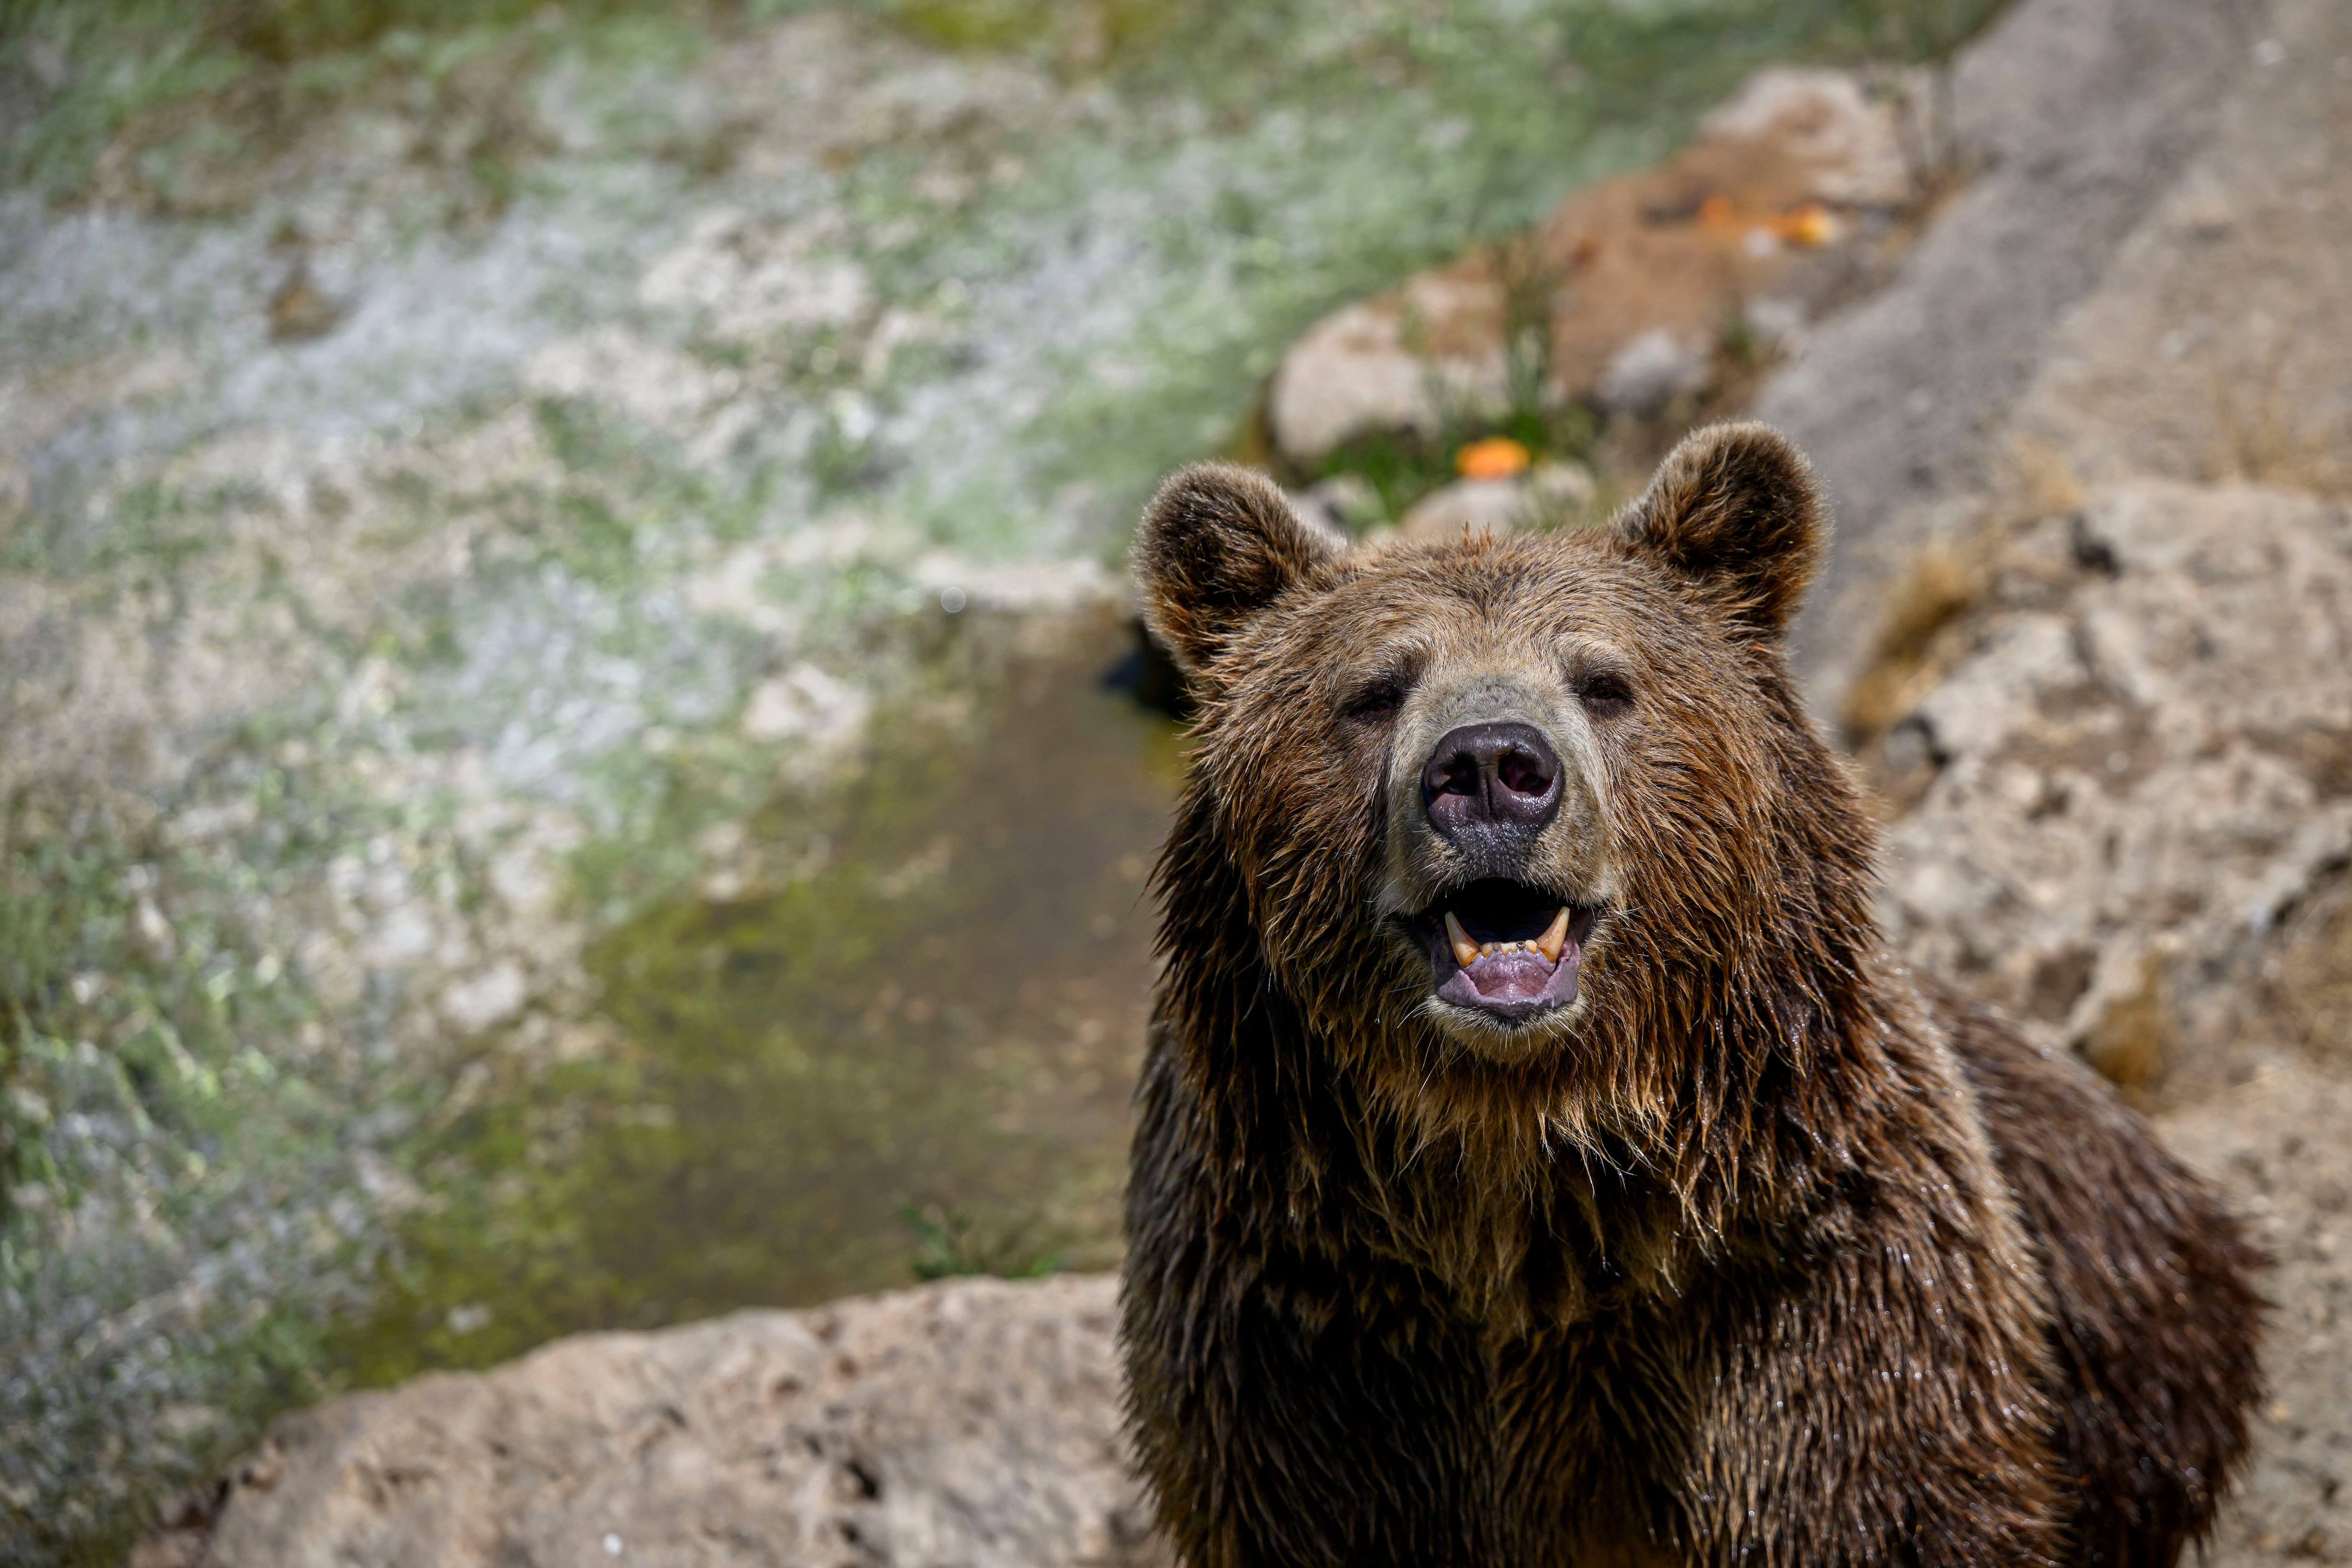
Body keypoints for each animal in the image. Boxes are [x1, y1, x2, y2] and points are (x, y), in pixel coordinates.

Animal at [1119, 423, 2262, 1568]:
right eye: (1376, 690)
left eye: (1602, 681)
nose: (1489, 765)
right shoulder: (1313, 1350)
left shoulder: (1816, 1307)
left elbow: (1876, 1491)